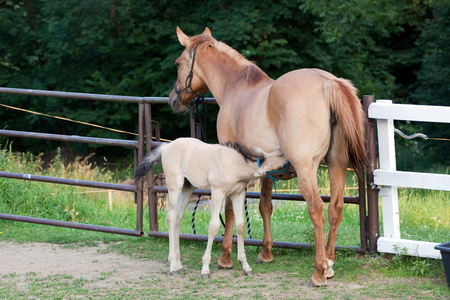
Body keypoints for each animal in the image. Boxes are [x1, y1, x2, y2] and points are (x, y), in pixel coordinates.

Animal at [168, 27, 366, 286]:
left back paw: (319, 271)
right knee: (335, 208)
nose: (173, 100)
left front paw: (225, 258)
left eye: (178, 63)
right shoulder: (265, 170)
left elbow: (230, 211)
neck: (236, 89)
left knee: (316, 209)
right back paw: (330, 264)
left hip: (307, 169)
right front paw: (265, 252)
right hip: (337, 164)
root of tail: (328, 83)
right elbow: (265, 206)